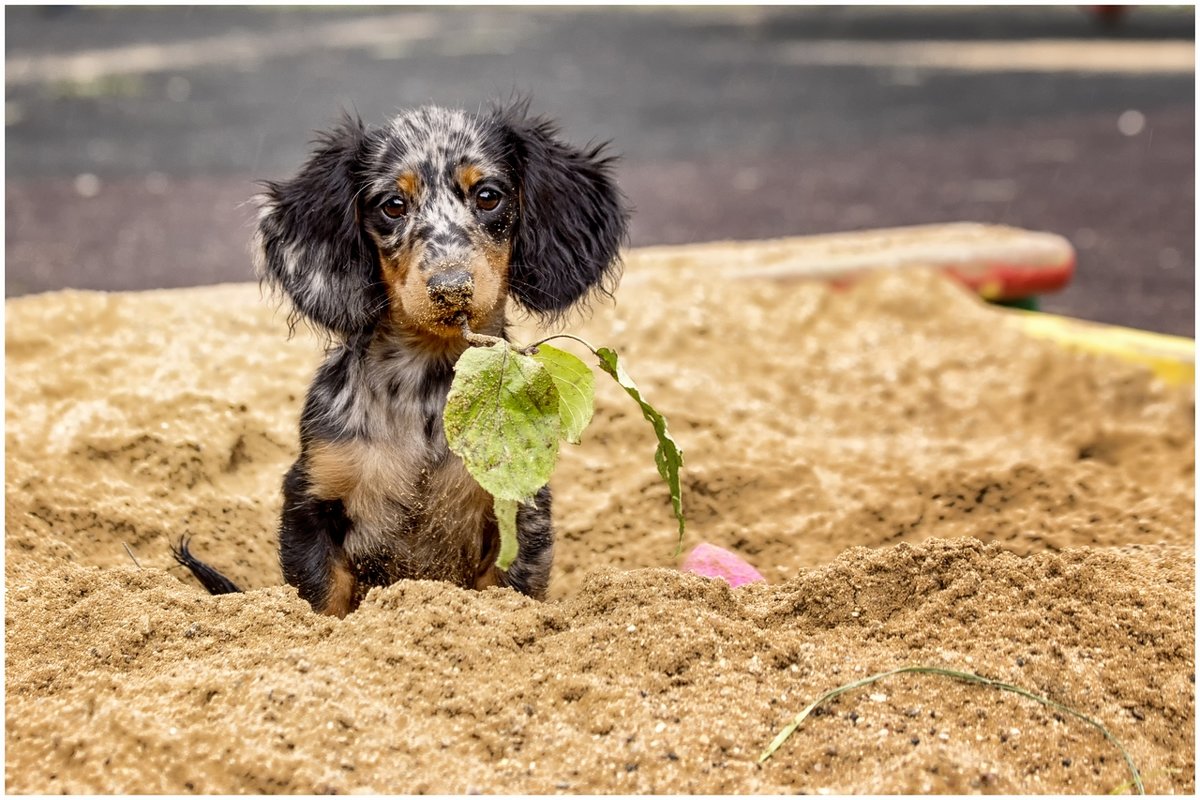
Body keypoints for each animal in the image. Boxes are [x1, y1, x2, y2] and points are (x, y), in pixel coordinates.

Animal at [177, 103, 633, 618]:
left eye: (488, 196)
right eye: (392, 205)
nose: (451, 288)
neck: (425, 389)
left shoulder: (520, 512)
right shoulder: (310, 500)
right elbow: (323, 602)